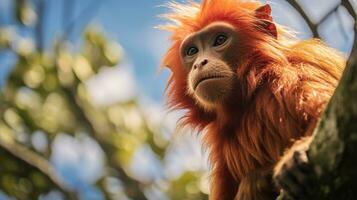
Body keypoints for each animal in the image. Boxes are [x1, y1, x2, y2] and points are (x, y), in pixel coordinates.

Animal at [160, 0, 344, 199]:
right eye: (192, 51)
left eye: (220, 40)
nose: (199, 63)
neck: (253, 90)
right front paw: (260, 180)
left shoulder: (309, 61)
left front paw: (294, 156)